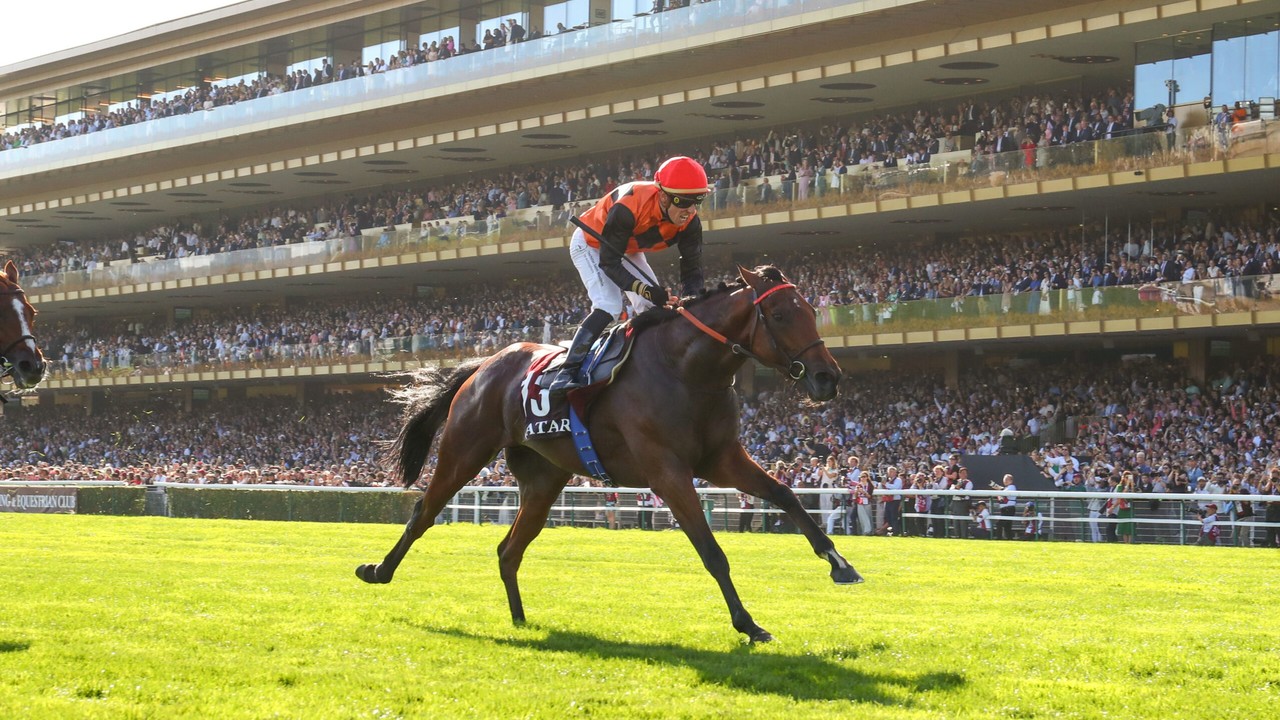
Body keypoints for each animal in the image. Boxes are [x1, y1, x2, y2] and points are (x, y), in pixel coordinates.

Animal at [355, 263, 865, 638]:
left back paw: (521, 620)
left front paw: (840, 563)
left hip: (543, 479)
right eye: (779, 316)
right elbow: (711, 549)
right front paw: (748, 623)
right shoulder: (667, 472)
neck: (685, 369)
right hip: (464, 451)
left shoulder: (721, 459)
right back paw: (378, 570)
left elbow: (784, 493)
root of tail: (483, 365)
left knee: (509, 548)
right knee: (423, 512)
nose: (828, 377)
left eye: (811, 310)